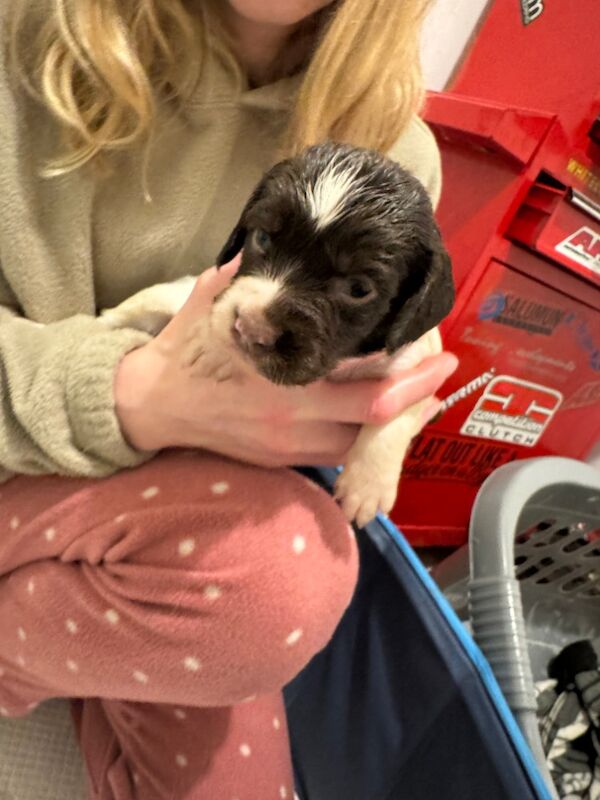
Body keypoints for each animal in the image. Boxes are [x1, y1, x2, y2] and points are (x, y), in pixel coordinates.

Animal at [101, 141, 452, 528]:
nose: (251, 327)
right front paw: (216, 349)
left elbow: (397, 417)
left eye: (359, 289)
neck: (339, 366)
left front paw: (368, 486)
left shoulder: (415, 362)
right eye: (261, 237)